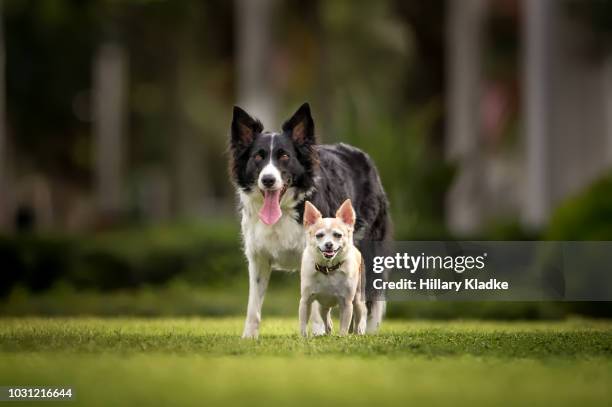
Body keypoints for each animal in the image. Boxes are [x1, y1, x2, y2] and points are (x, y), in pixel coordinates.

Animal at [230, 103, 392, 340]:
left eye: (284, 156)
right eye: (258, 157)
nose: (268, 180)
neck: (285, 210)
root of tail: (363, 156)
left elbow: (317, 305)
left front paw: (316, 332)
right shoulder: (258, 257)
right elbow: (254, 305)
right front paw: (249, 336)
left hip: (367, 252)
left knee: (367, 298)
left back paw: (365, 329)